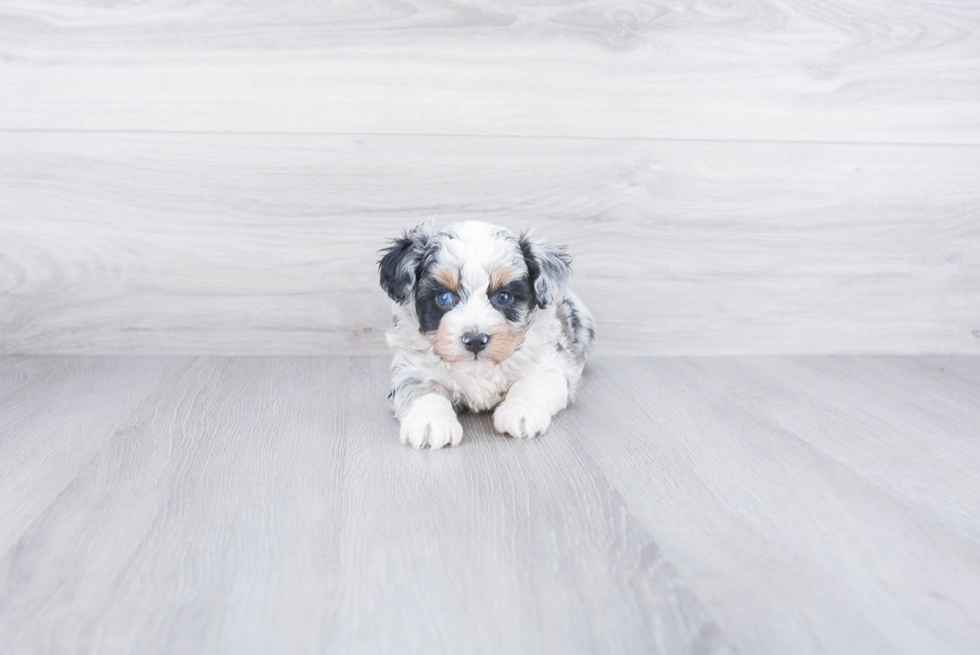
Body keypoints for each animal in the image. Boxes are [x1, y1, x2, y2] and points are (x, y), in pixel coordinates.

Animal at [378, 223, 592, 448]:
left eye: (504, 297)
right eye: (444, 297)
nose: (474, 341)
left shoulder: (550, 363)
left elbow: (532, 384)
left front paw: (521, 411)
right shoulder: (412, 368)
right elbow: (422, 390)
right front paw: (430, 422)